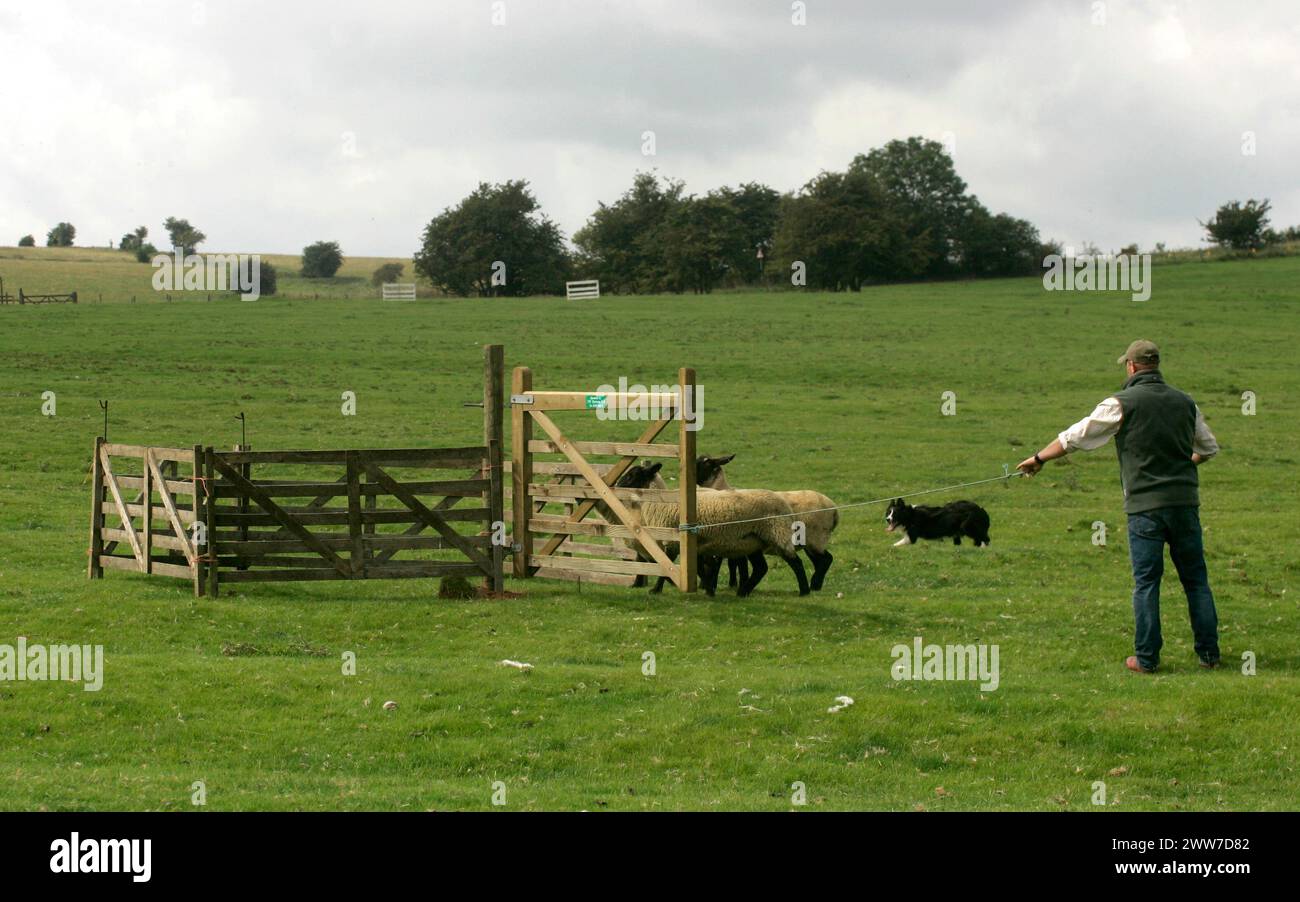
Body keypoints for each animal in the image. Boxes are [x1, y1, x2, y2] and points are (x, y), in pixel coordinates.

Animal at [605, 462, 800, 597]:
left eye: (633, 474)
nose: (616, 485)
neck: (660, 502)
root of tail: (785, 505)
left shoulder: (675, 542)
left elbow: (668, 566)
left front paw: (657, 589)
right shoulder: (695, 545)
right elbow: (698, 568)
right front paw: (708, 589)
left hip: (776, 533)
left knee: (793, 561)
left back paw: (804, 590)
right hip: (753, 541)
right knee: (761, 568)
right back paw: (742, 592)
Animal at [696, 452, 837, 592]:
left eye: (705, 463)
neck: (720, 489)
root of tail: (833, 508)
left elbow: (731, 565)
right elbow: (732, 563)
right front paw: (732, 584)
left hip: (814, 538)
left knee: (826, 560)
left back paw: (814, 585)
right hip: (810, 542)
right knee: (821, 560)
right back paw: (815, 585)